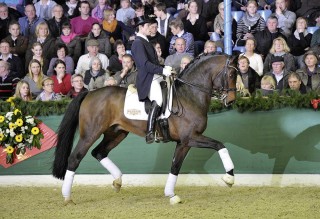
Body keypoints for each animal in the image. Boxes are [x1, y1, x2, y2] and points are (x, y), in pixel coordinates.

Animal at [52, 53, 238, 205]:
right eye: (231, 74)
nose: (231, 100)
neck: (189, 95)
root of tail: (89, 93)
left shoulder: (183, 142)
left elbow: (175, 166)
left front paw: (171, 195)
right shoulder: (191, 137)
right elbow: (220, 145)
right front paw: (229, 178)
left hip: (116, 133)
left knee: (99, 152)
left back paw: (118, 181)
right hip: (90, 134)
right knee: (75, 158)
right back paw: (67, 198)